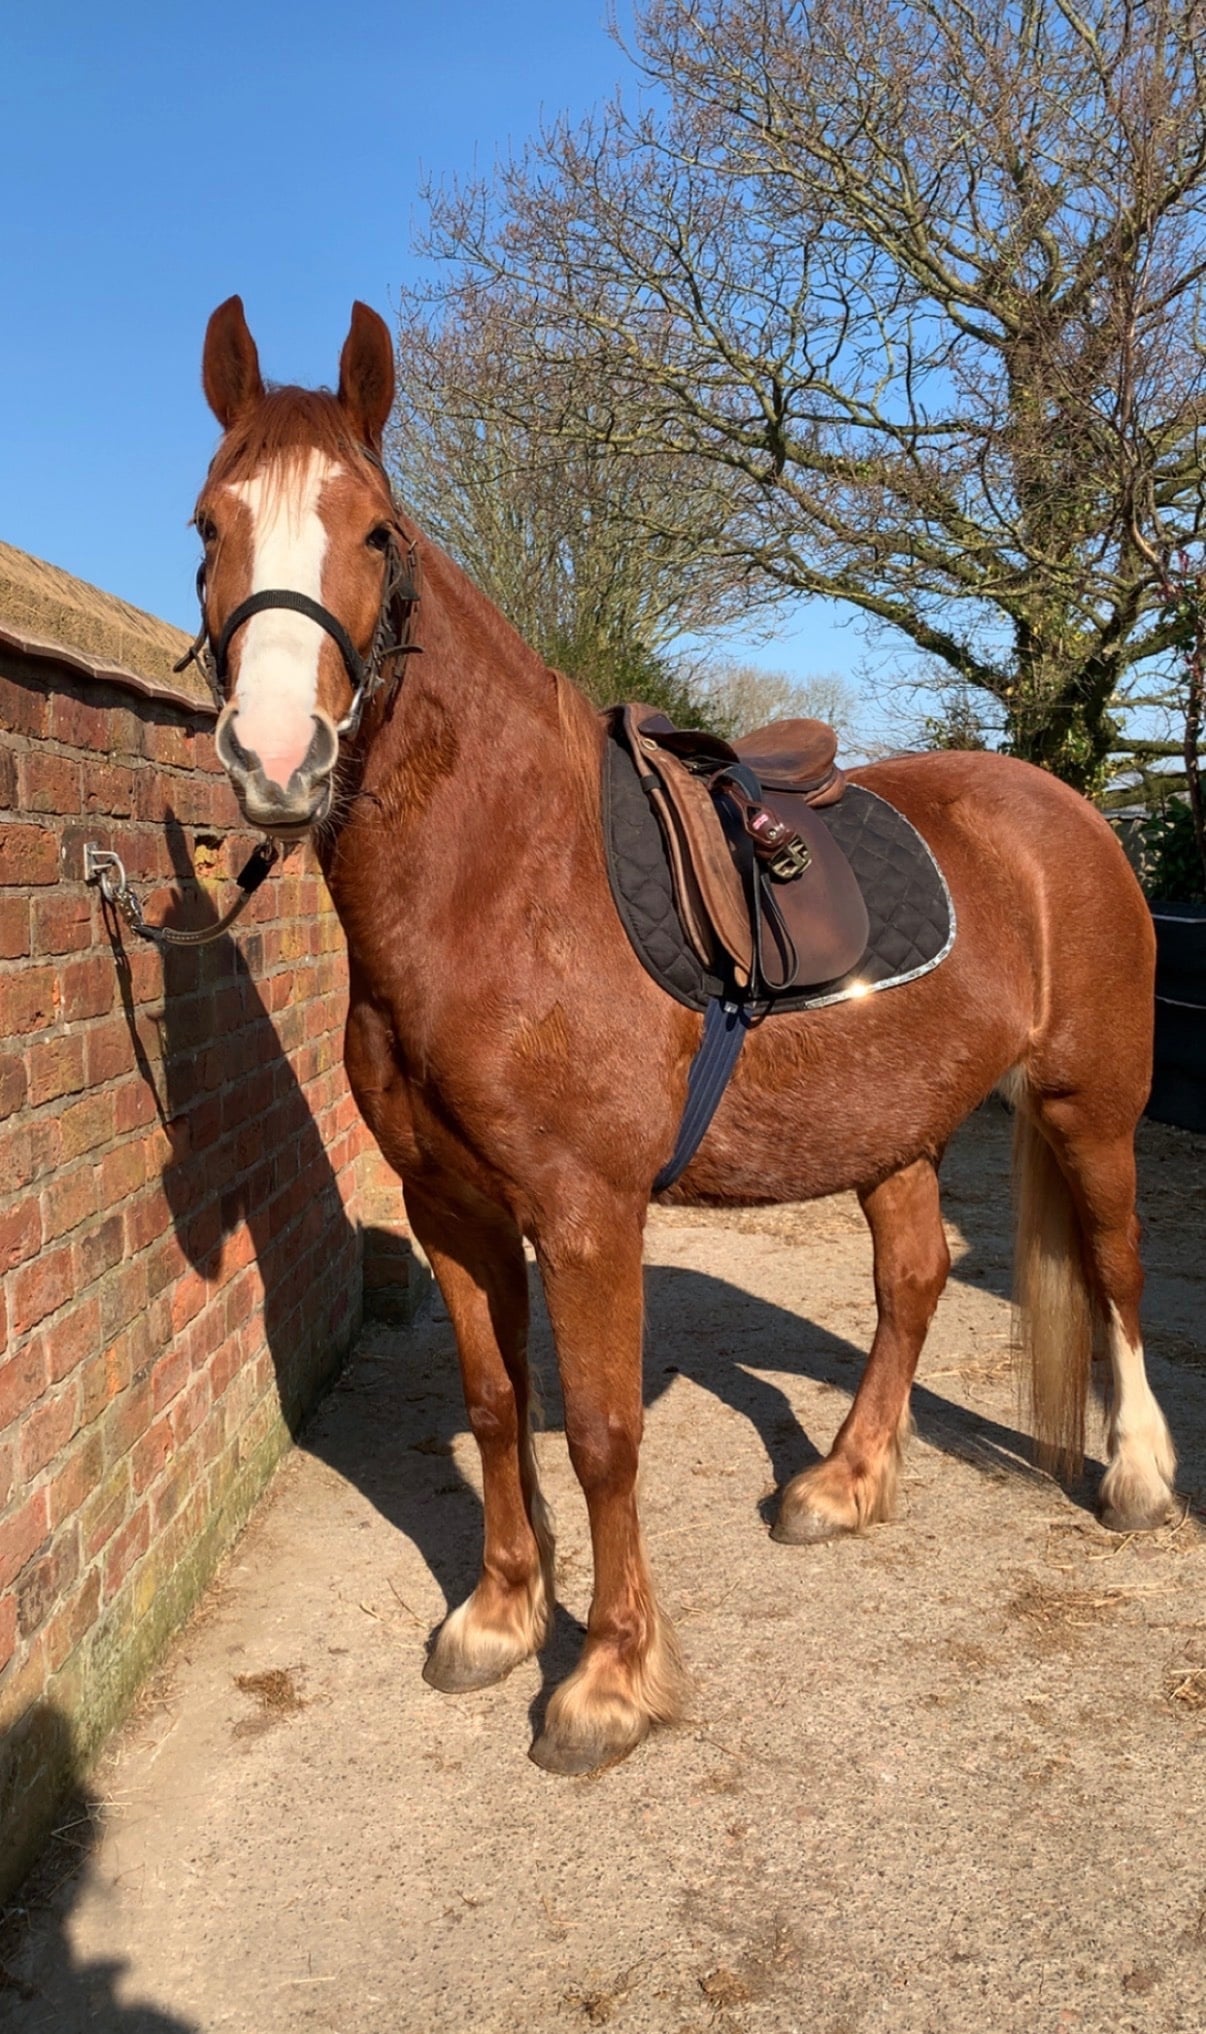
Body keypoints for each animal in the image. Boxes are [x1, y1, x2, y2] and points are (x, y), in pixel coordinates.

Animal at [187, 295, 1177, 1775]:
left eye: (374, 533)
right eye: (209, 525)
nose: (273, 757)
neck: (505, 879)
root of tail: (1066, 814)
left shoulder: (588, 1212)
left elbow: (600, 1435)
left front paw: (606, 1679)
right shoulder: (449, 1206)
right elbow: (493, 1403)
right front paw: (498, 1617)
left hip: (1086, 1109)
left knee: (1113, 1270)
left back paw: (1139, 1476)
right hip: (890, 1124)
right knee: (914, 1277)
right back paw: (844, 1481)